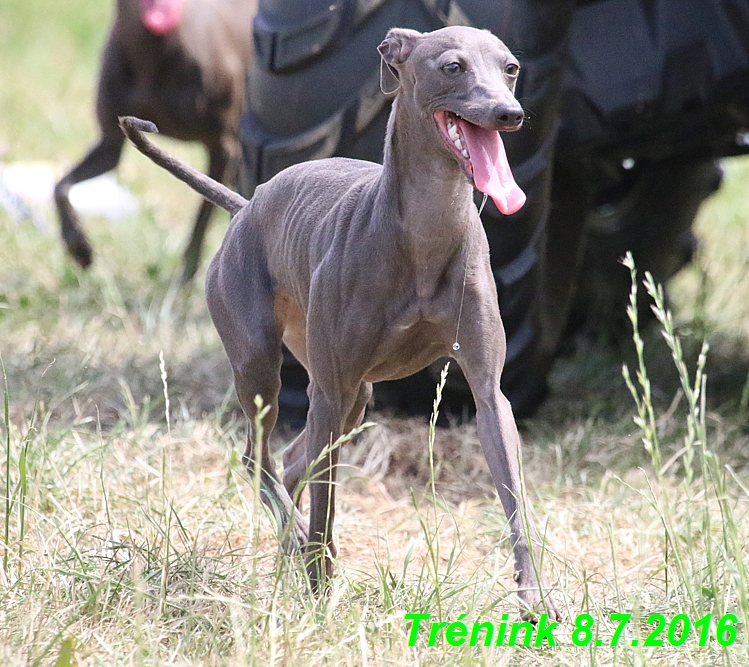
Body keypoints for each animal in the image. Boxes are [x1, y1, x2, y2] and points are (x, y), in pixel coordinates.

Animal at [54, 0, 256, 284]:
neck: (152, 55)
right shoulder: (111, 143)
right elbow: (61, 187)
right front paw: (80, 248)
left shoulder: (225, 149)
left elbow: (203, 216)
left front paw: (185, 277)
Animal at [120, 26, 560, 620]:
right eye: (453, 67)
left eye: (511, 68)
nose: (509, 114)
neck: (426, 231)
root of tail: (248, 203)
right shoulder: (328, 390)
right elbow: (327, 506)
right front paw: (321, 592)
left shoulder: (489, 394)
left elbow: (513, 496)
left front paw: (537, 599)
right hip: (267, 368)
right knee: (260, 456)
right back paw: (296, 542)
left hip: (353, 398)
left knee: (290, 462)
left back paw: (291, 543)